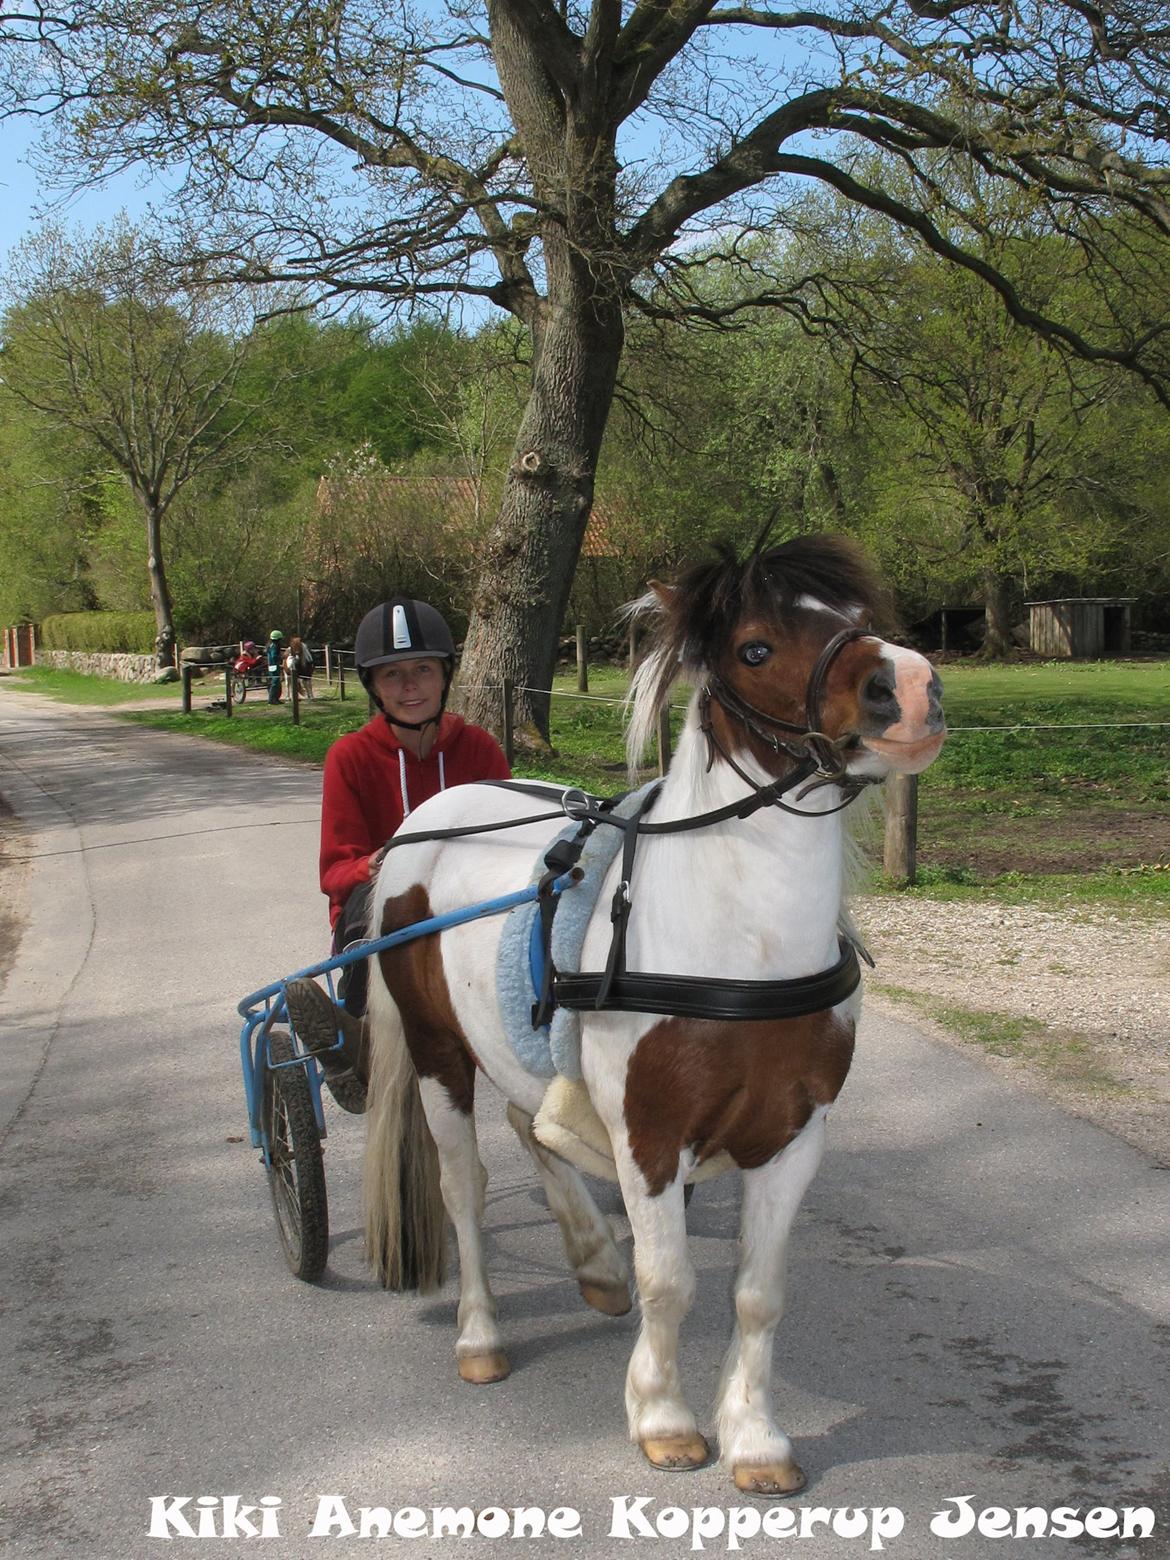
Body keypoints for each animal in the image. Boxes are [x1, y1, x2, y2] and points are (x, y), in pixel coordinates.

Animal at [361, 536, 948, 1497]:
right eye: (754, 646)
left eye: (855, 618)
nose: (913, 685)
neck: (739, 949)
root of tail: (425, 825)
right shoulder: (650, 1132)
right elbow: (671, 1280)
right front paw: (665, 1420)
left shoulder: (794, 1133)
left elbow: (759, 1291)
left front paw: (755, 1438)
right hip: (439, 1053)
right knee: (463, 1188)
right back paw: (481, 1335)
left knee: (532, 1125)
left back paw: (593, 1264)